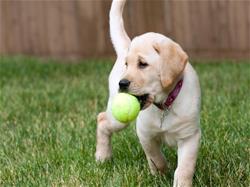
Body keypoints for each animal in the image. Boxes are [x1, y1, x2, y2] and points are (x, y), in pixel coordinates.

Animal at [95, 0, 201, 186]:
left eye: (142, 64)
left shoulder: (190, 137)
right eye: (127, 65)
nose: (122, 83)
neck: (165, 104)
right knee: (102, 119)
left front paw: (180, 181)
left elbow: (185, 168)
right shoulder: (145, 134)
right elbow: (155, 157)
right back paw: (103, 156)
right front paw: (160, 174)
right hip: (118, 120)